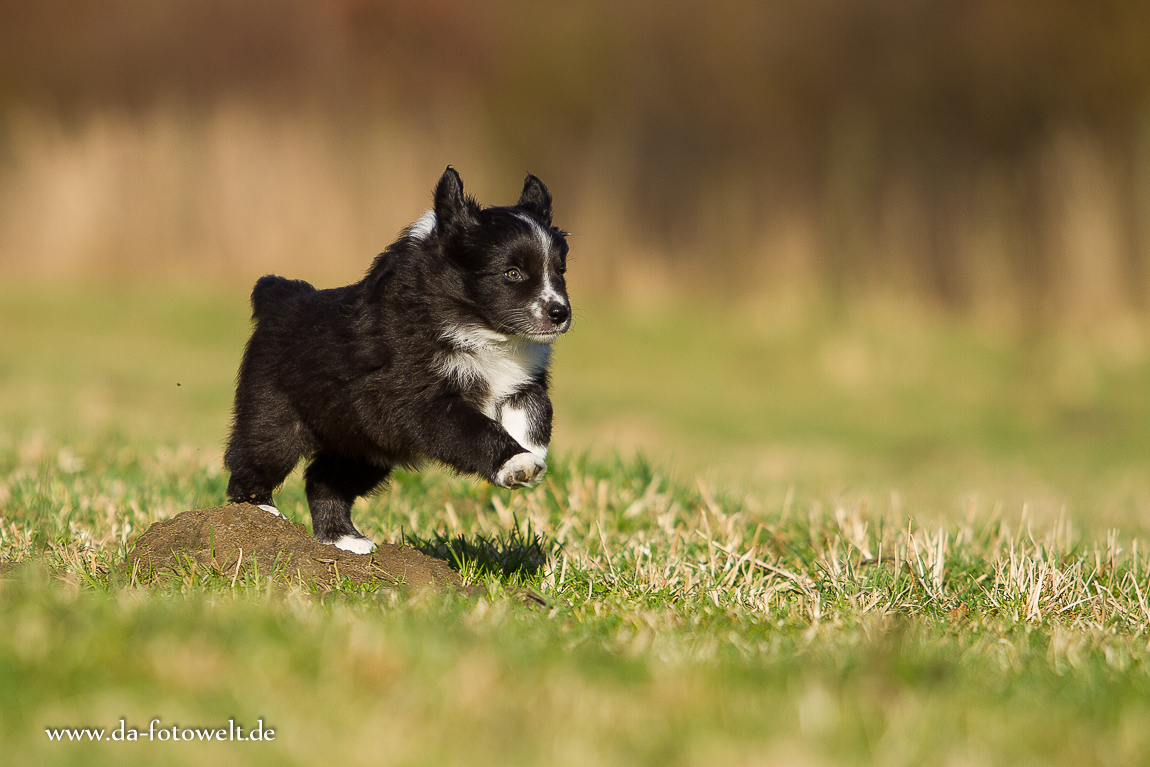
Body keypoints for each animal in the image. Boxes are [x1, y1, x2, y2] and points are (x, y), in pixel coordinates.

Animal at [224, 166, 570, 551]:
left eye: (560, 271)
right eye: (513, 273)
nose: (560, 313)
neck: (480, 329)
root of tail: (281, 296)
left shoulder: (523, 379)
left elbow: (535, 408)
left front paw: (531, 452)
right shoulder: (419, 400)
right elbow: (474, 429)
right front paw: (516, 461)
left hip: (364, 447)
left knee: (323, 480)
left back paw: (344, 539)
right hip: (274, 418)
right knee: (251, 462)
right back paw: (259, 515)